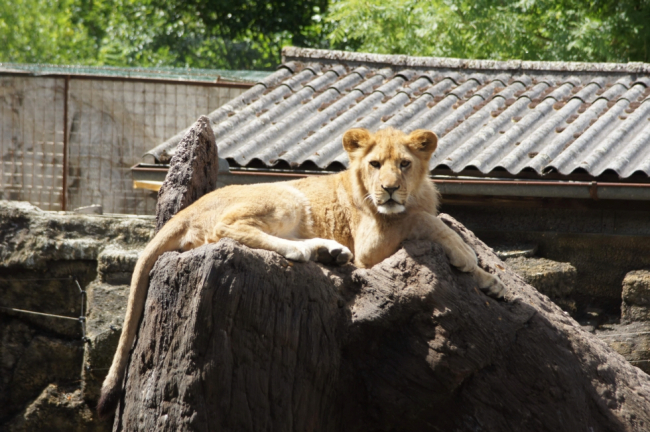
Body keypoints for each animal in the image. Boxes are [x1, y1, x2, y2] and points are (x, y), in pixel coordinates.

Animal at [96, 126, 504, 416]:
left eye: (404, 164)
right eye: (375, 165)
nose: (389, 190)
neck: (411, 195)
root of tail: (184, 211)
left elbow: (435, 221)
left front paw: (491, 281)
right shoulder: (373, 243)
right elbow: (430, 221)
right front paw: (467, 257)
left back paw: (330, 251)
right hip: (285, 196)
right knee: (229, 228)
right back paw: (306, 249)